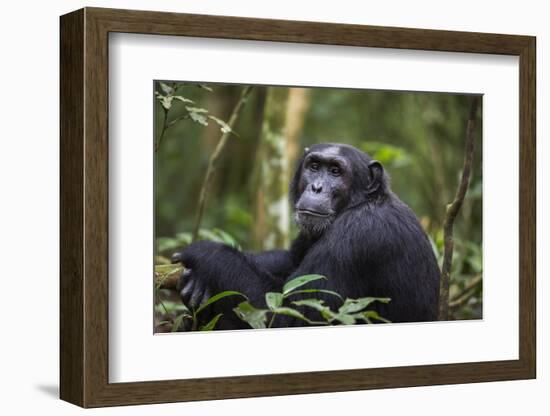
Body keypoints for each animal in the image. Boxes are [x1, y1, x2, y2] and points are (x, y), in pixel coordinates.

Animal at [175, 143, 442, 328]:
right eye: (314, 167)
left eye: (335, 171)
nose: (316, 187)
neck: (359, 204)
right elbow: (290, 260)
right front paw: (194, 284)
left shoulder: (357, 237)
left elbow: (290, 314)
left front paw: (205, 253)